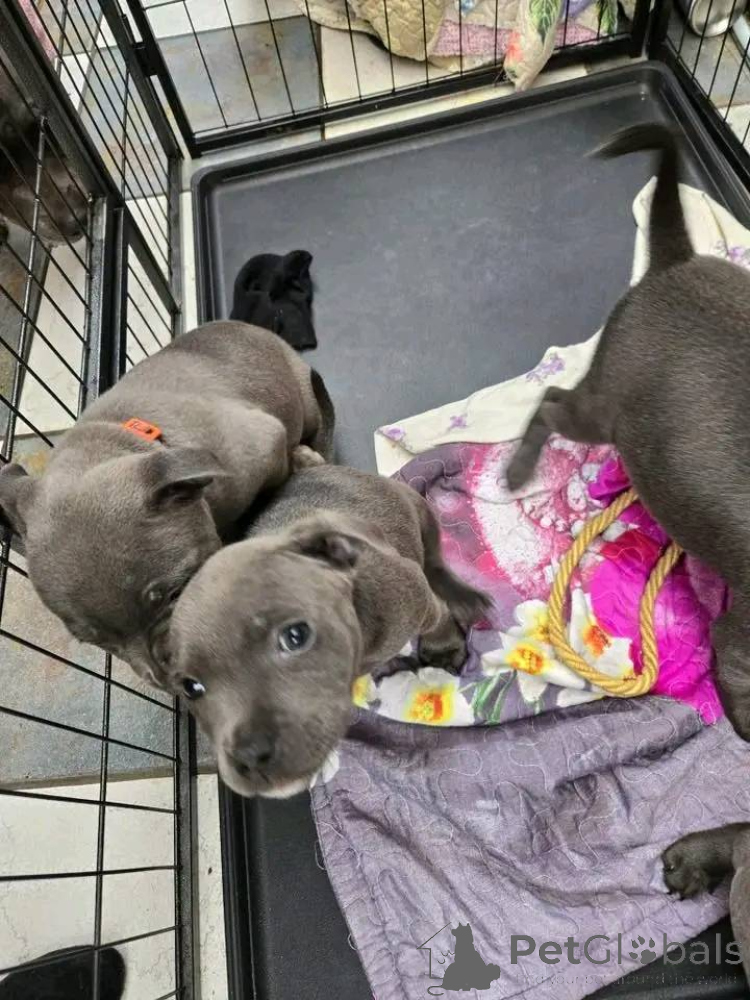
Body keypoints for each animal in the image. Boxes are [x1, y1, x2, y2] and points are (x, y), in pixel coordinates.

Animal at [166, 461, 490, 799]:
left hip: (417, 507)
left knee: (435, 560)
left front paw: (444, 648)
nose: (250, 757)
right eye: (191, 687)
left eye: (296, 636)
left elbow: (438, 616)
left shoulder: (417, 596)